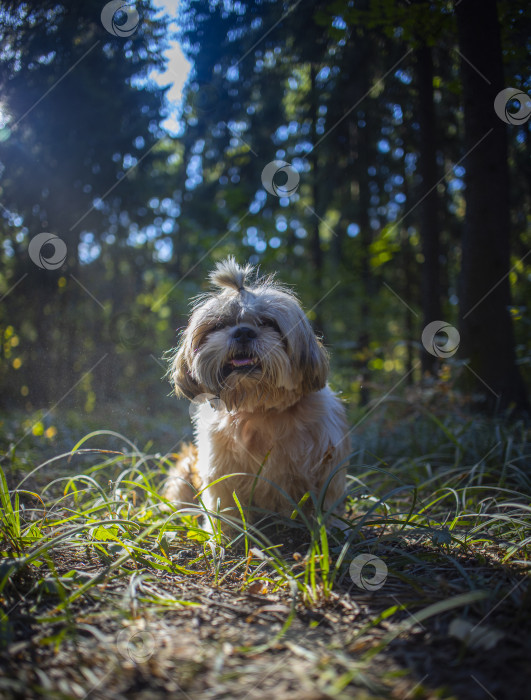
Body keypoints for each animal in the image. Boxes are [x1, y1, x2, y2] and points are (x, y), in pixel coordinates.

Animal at [164, 260, 352, 532]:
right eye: (220, 325)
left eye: (268, 323)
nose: (243, 332)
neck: (260, 408)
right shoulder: (221, 471)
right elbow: (225, 505)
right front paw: (226, 534)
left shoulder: (326, 465)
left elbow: (326, 500)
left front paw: (329, 529)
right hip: (184, 473)